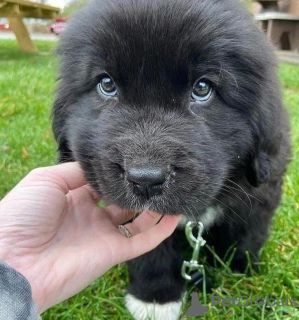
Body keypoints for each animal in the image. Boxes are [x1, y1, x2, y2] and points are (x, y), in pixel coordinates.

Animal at [52, 0, 292, 318]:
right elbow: (150, 248)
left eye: (202, 88)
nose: (145, 180)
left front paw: (242, 269)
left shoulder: (261, 191)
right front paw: (154, 299)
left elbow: (248, 232)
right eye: (106, 84)